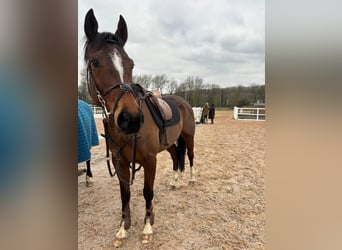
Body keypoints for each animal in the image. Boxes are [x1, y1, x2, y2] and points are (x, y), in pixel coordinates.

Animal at [83, 9, 195, 246]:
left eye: (131, 63)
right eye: (95, 62)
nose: (131, 119)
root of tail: (183, 101)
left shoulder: (150, 160)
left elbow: (147, 192)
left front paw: (147, 226)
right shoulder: (120, 162)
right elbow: (125, 194)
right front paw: (123, 228)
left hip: (189, 138)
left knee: (190, 156)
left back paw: (191, 179)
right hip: (170, 144)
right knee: (176, 157)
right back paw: (174, 182)